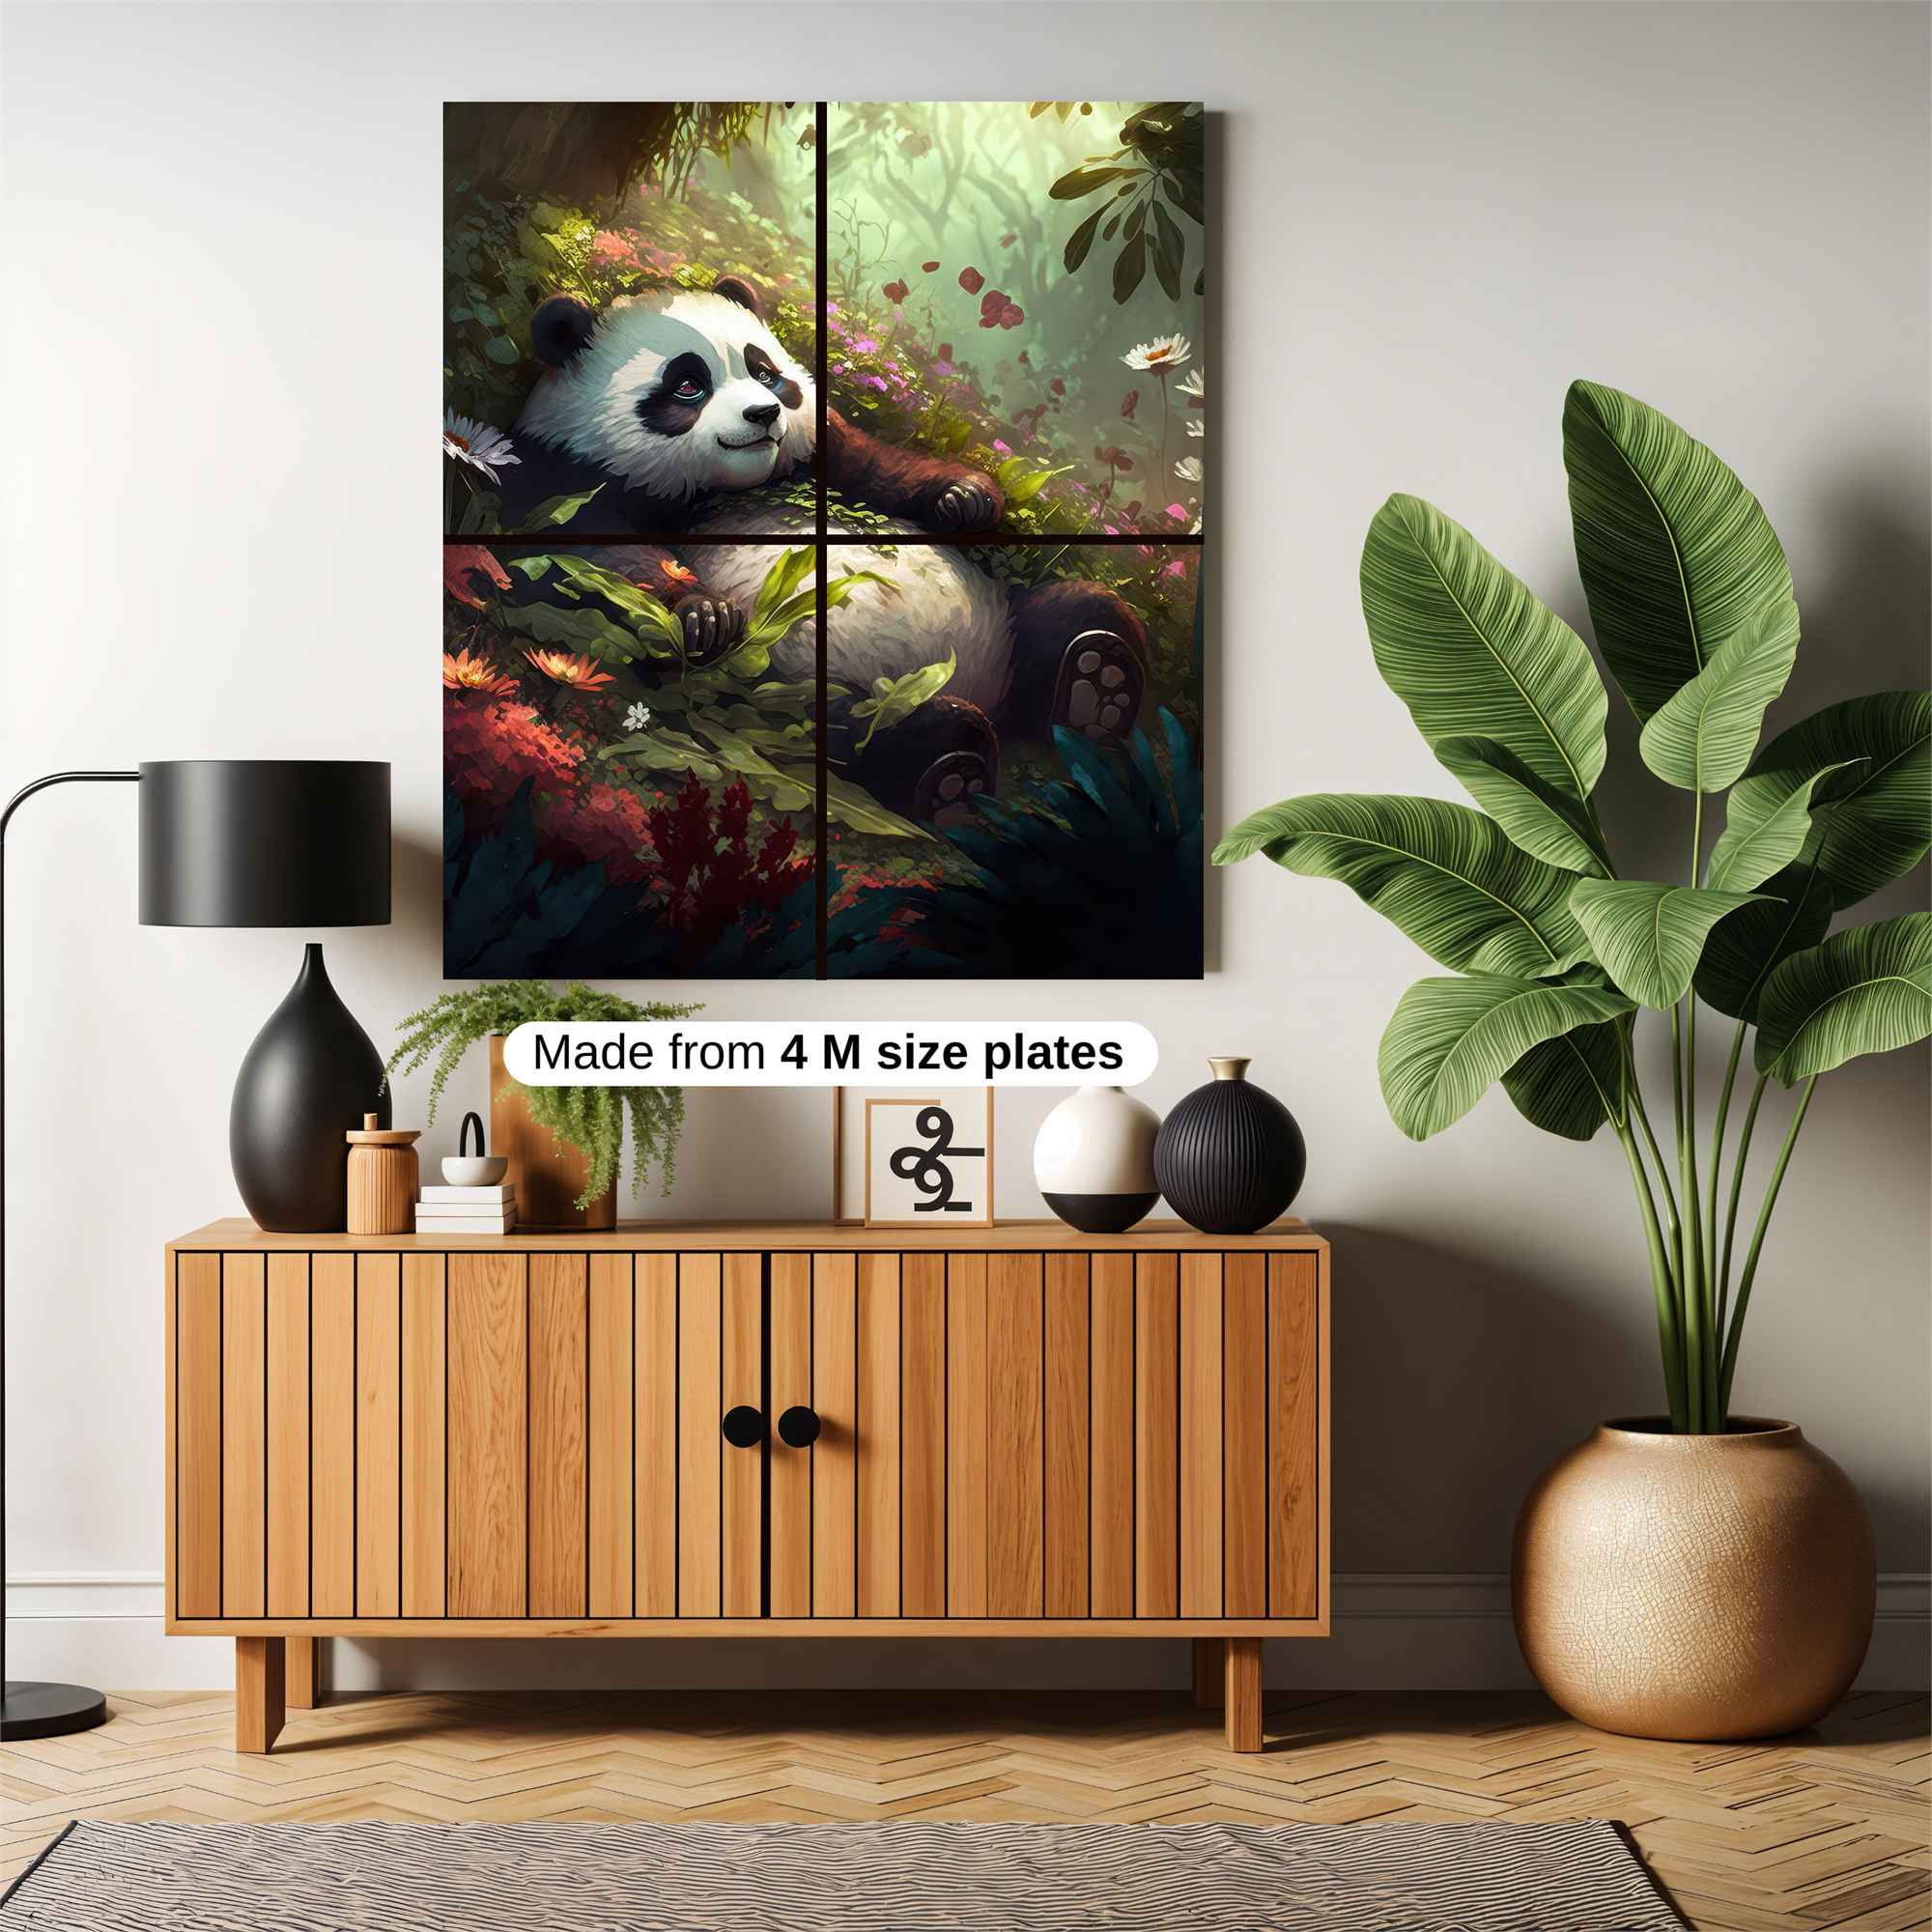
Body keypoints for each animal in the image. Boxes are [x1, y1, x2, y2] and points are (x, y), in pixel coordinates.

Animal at [499, 277, 1148, 822]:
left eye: (764, 372)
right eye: (688, 385)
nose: (764, 413)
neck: (728, 485)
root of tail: (985, 688)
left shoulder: (822, 450)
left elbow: (882, 468)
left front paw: (966, 498)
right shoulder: (567, 478)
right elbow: (594, 561)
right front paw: (704, 614)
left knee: (1066, 614)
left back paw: (1097, 678)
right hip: (781, 689)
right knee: (851, 730)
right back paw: (950, 761)